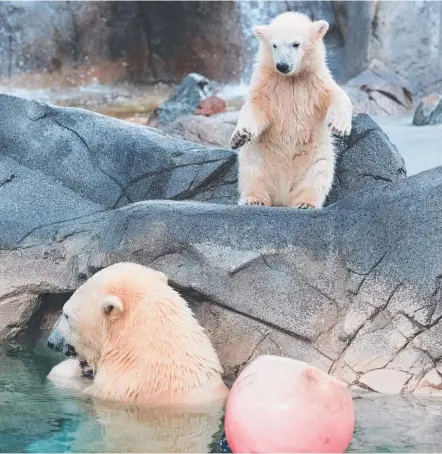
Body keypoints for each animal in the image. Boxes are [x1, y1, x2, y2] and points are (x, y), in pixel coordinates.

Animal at [231, 11, 352, 208]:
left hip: (315, 155)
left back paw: (305, 202)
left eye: (296, 44)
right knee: (252, 171)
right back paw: (254, 199)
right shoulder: (268, 85)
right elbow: (256, 107)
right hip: (260, 154)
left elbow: (336, 95)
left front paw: (339, 126)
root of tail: (283, 194)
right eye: (274, 45)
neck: (291, 79)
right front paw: (240, 135)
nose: (282, 65)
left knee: (317, 175)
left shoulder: (315, 83)